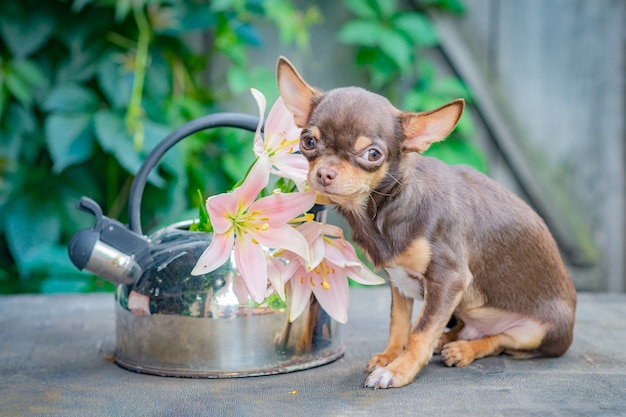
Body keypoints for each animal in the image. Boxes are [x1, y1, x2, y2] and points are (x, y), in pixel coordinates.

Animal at [276, 57, 576, 388]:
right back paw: (449, 341)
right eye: (308, 141)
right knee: (463, 328)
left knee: (499, 340)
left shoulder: (449, 279)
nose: (324, 173)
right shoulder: (399, 281)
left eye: (372, 154)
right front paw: (390, 356)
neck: (384, 208)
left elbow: (420, 330)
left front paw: (398, 370)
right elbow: (399, 323)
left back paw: (463, 349)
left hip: (534, 332)